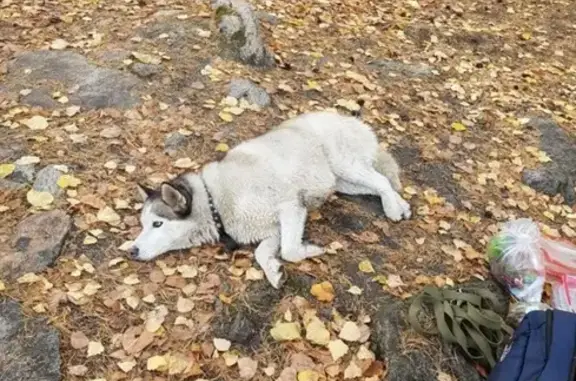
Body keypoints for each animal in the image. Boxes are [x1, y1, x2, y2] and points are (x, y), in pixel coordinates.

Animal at [132, 111, 410, 286]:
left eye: (157, 224)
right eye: (143, 225)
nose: (131, 251)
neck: (215, 202)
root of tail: (349, 118)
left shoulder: (292, 208)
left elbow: (289, 250)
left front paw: (309, 250)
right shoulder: (273, 230)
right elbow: (263, 252)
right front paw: (274, 271)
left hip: (346, 166)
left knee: (382, 181)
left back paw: (392, 210)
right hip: (344, 182)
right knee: (379, 183)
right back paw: (401, 205)